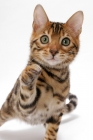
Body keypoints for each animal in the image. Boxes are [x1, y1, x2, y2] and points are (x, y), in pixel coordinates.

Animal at [0, 4, 83, 140]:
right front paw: (29, 72)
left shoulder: (56, 113)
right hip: (9, 107)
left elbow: (51, 132)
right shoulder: (24, 106)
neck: (56, 77)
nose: (53, 51)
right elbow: (26, 89)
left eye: (65, 41)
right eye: (44, 39)